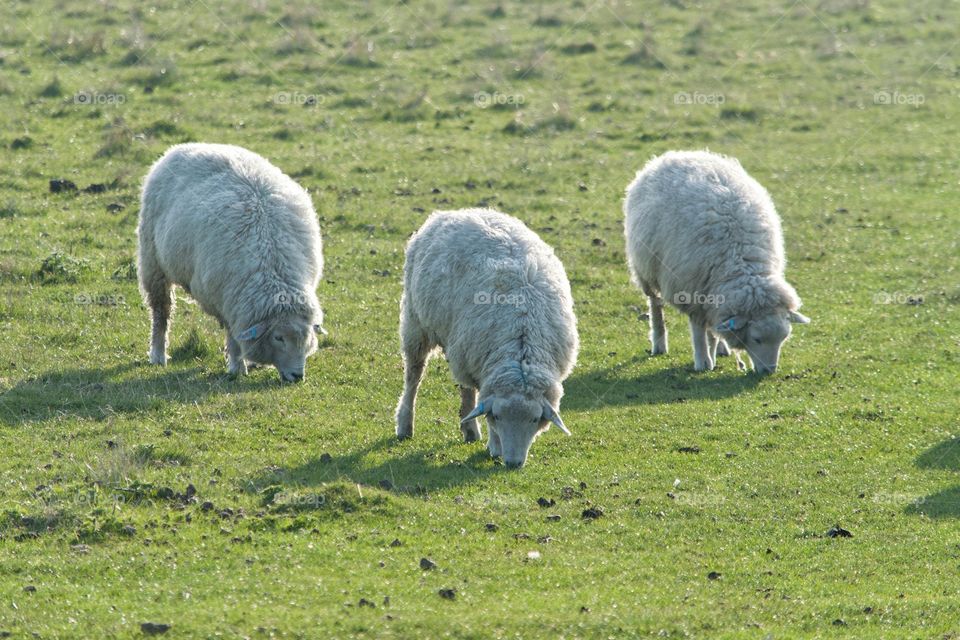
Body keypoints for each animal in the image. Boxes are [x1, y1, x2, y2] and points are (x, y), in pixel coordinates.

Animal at [137, 143, 325, 382]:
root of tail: (184, 146)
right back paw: (158, 354)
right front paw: (237, 367)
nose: (297, 375)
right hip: (153, 262)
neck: (272, 265)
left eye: (306, 338)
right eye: (279, 338)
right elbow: (234, 338)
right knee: (161, 311)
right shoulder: (226, 301)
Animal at [395, 208, 579, 468]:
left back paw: (470, 429)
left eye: (534, 419)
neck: (522, 346)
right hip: (416, 323)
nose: (513, 463)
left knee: (465, 388)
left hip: (462, 347)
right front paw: (495, 446)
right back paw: (405, 425)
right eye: (498, 416)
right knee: (414, 376)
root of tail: (456, 212)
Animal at [624, 150, 809, 374]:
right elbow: (698, 330)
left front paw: (714, 350)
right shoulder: (692, 292)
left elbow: (712, 330)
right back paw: (659, 344)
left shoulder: (711, 292)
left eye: (783, 338)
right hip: (646, 271)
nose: (769, 371)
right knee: (655, 305)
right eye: (757, 339)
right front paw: (703, 361)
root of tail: (678, 154)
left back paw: (721, 349)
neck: (740, 261)